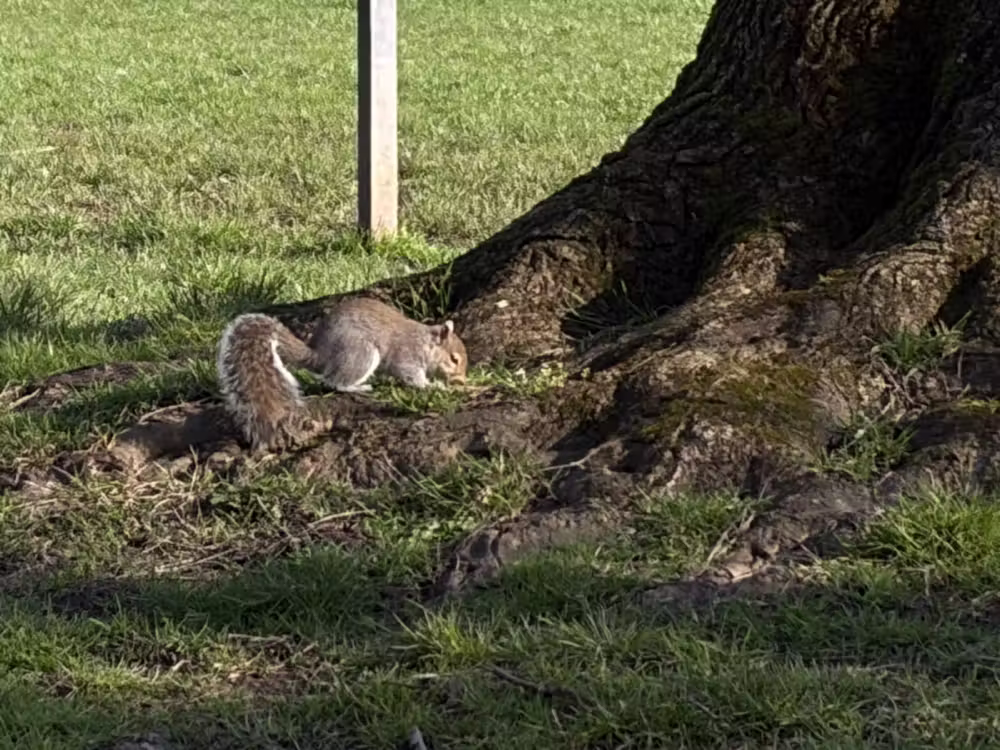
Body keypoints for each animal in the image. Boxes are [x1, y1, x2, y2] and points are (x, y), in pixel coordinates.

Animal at [216, 297, 468, 452]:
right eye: (454, 359)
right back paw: (359, 386)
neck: (425, 343)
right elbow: (411, 377)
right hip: (361, 352)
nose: (462, 381)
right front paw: (434, 386)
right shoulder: (407, 357)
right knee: (335, 381)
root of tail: (320, 355)